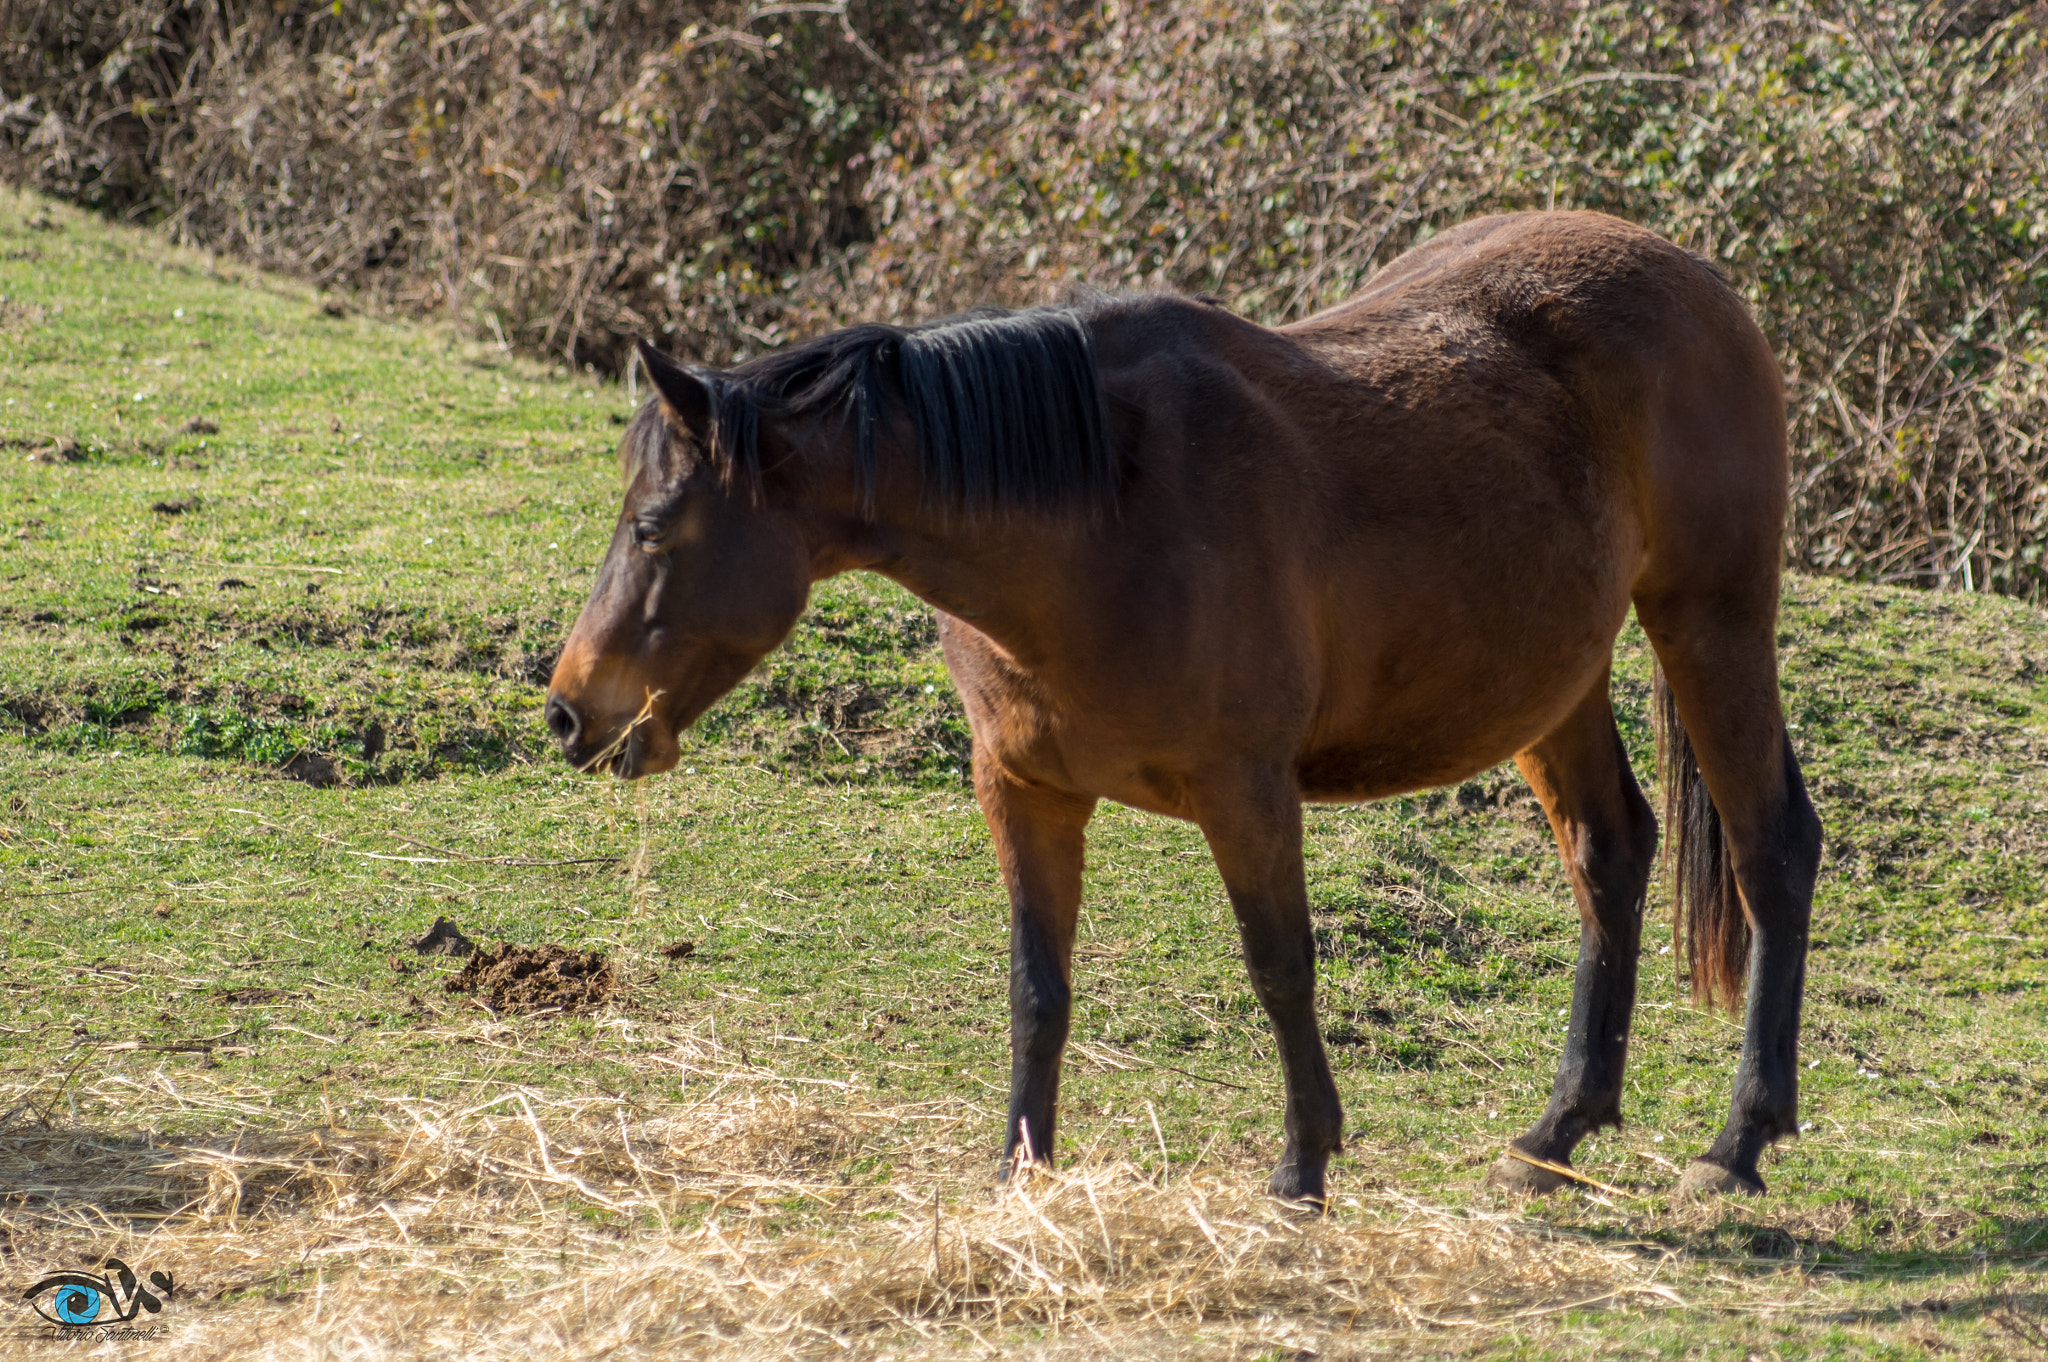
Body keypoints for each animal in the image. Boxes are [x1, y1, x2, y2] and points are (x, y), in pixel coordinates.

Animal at [544, 209, 1826, 1204]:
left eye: (653, 527)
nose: (568, 713)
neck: (1094, 521)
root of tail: (1693, 276)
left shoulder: (1243, 789)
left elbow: (1279, 967)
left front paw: (1302, 1165)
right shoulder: (1023, 788)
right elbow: (1036, 987)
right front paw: (1019, 1171)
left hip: (1707, 620)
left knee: (1769, 848)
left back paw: (1735, 1144)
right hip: (1550, 681)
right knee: (1608, 851)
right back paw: (1555, 1134)